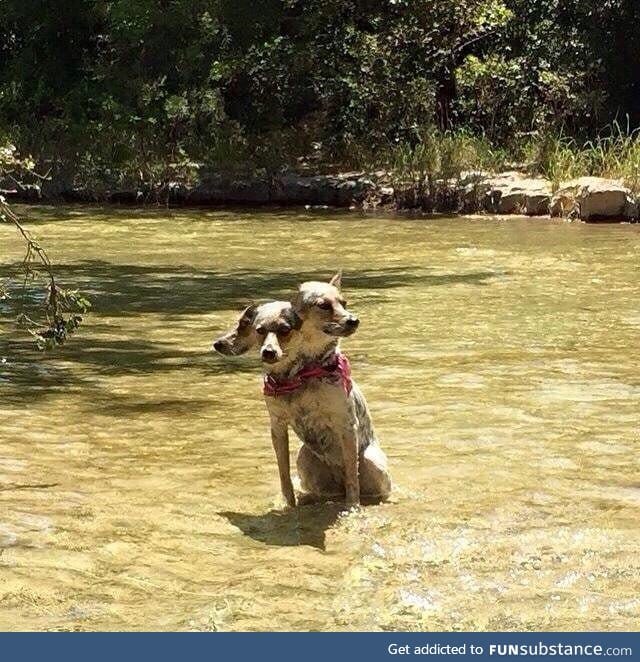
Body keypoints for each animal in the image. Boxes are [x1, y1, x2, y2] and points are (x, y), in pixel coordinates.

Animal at [214, 274, 390, 508]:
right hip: (304, 458)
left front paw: (352, 508)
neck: (299, 375)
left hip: (371, 463)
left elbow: (353, 477)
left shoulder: (346, 424)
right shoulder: (277, 426)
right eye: (323, 305)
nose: (354, 320)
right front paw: (288, 505)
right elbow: (284, 475)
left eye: (344, 304)